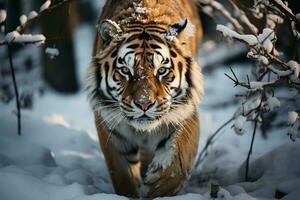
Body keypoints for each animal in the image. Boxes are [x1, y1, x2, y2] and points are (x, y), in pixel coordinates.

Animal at [85, 0, 205, 197]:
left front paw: (159, 186)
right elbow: (123, 175)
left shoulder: (186, 115)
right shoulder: (110, 129)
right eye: (125, 70)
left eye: (162, 70)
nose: (144, 103)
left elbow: (177, 161)